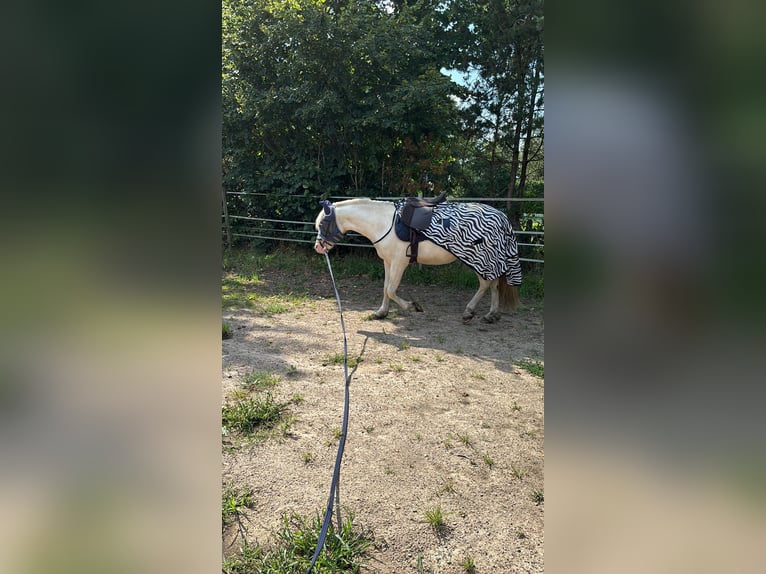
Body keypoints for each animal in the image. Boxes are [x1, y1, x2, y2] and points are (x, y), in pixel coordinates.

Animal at [314, 198, 520, 324]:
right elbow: (385, 288)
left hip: (481, 261)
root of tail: (502, 217)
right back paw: (491, 315)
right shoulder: (388, 262)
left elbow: (391, 290)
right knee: (494, 285)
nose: (318, 247)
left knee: (486, 284)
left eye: (323, 223)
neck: (384, 223)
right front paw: (381, 312)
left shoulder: (399, 263)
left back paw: (469, 311)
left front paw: (413, 307)